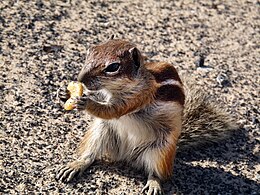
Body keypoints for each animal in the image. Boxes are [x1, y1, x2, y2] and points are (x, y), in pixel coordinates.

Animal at [55, 38, 235, 194]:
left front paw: (85, 103)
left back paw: (154, 184)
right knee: (90, 155)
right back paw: (75, 165)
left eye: (113, 67)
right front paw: (64, 93)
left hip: (160, 151)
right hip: (100, 132)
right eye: (90, 52)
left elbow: (112, 111)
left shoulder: (138, 97)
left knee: (157, 173)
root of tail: (127, 156)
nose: (80, 78)